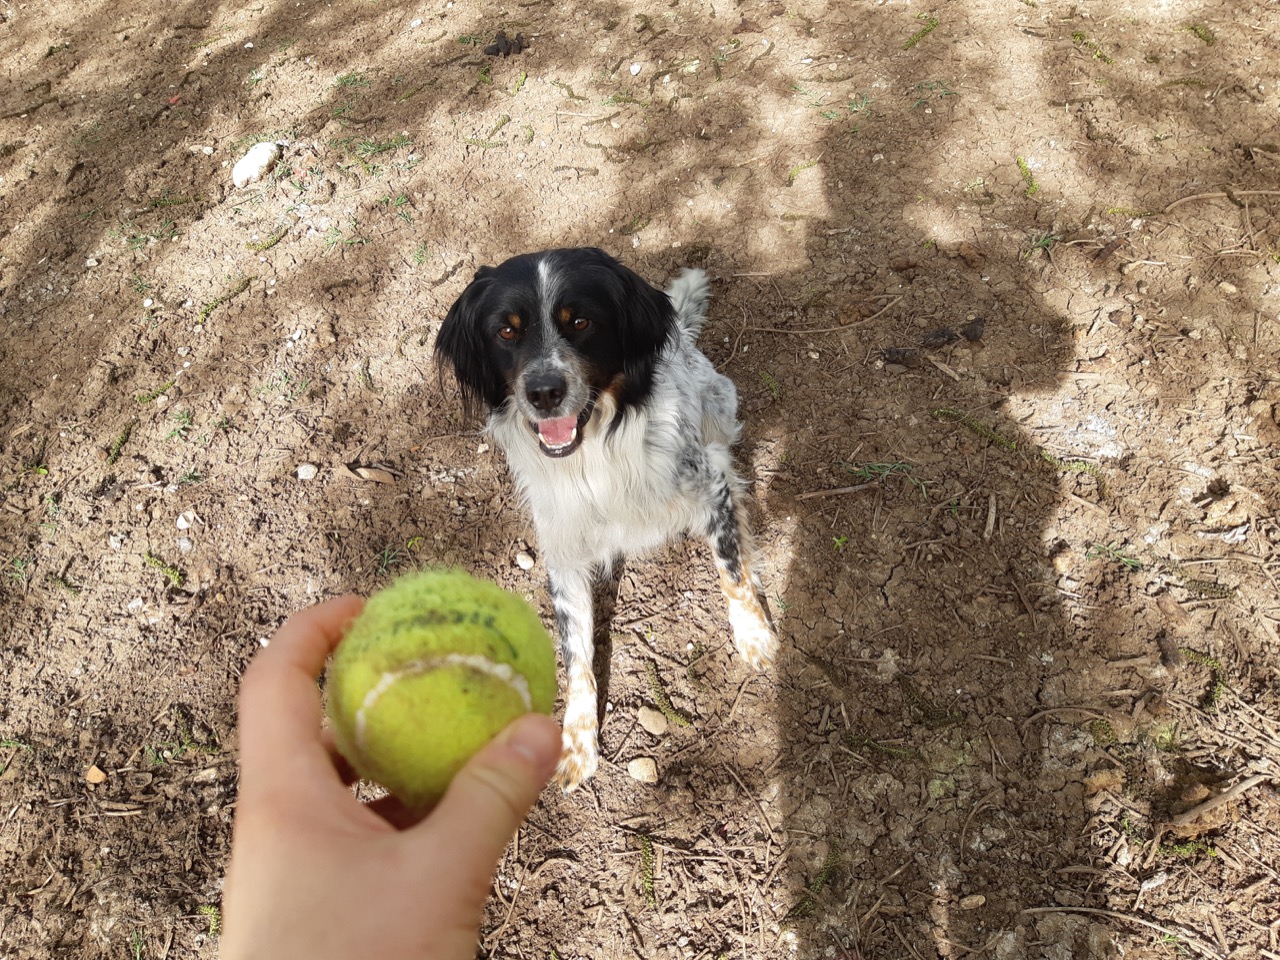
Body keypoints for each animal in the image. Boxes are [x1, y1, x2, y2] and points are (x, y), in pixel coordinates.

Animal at [435, 245, 773, 788]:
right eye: (506, 331)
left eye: (580, 322)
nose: (544, 392)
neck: (592, 456)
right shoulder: (563, 554)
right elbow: (576, 655)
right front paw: (576, 743)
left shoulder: (709, 488)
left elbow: (732, 572)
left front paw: (754, 634)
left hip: (720, 403)